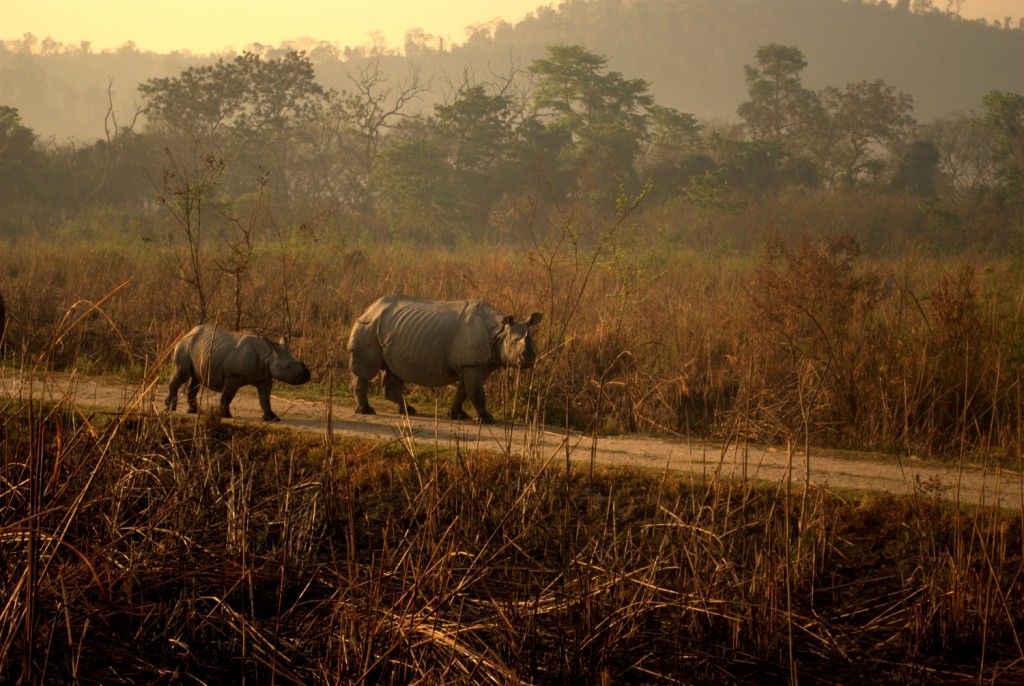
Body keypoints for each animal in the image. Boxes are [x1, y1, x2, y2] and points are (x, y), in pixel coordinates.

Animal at [165, 323, 309, 421]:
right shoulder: (234, 376)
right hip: (184, 345)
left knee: (196, 379)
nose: (307, 375)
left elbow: (265, 398)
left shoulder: (264, 377)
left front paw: (272, 418)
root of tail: (187, 332)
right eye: (287, 366)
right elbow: (228, 396)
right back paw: (170, 408)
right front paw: (225, 415)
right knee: (182, 375)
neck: (268, 356)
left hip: (198, 348)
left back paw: (194, 411)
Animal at [350, 294, 544, 423]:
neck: (500, 331)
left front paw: (457, 415)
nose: (529, 358)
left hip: (389, 329)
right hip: (368, 326)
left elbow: (464, 391)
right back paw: (367, 411)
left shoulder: (479, 364)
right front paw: (487, 419)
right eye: (514, 342)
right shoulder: (471, 364)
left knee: (394, 370)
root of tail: (369, 308)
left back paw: (408, 411)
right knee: (366, 370)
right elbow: (476, 392)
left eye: (533, 340)